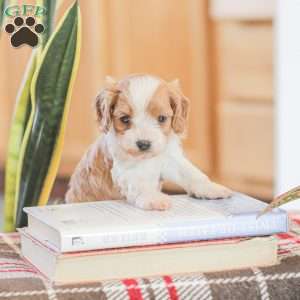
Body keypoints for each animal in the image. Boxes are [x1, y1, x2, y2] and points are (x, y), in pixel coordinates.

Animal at [65, 74, 232, 210]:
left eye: (162, 118)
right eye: (125, 119)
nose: (144, 144)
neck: (147, 159)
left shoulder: (171, 159)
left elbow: (191, 173)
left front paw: (210, 188)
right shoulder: (125, 170)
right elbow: (141, 184)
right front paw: (154, 199)